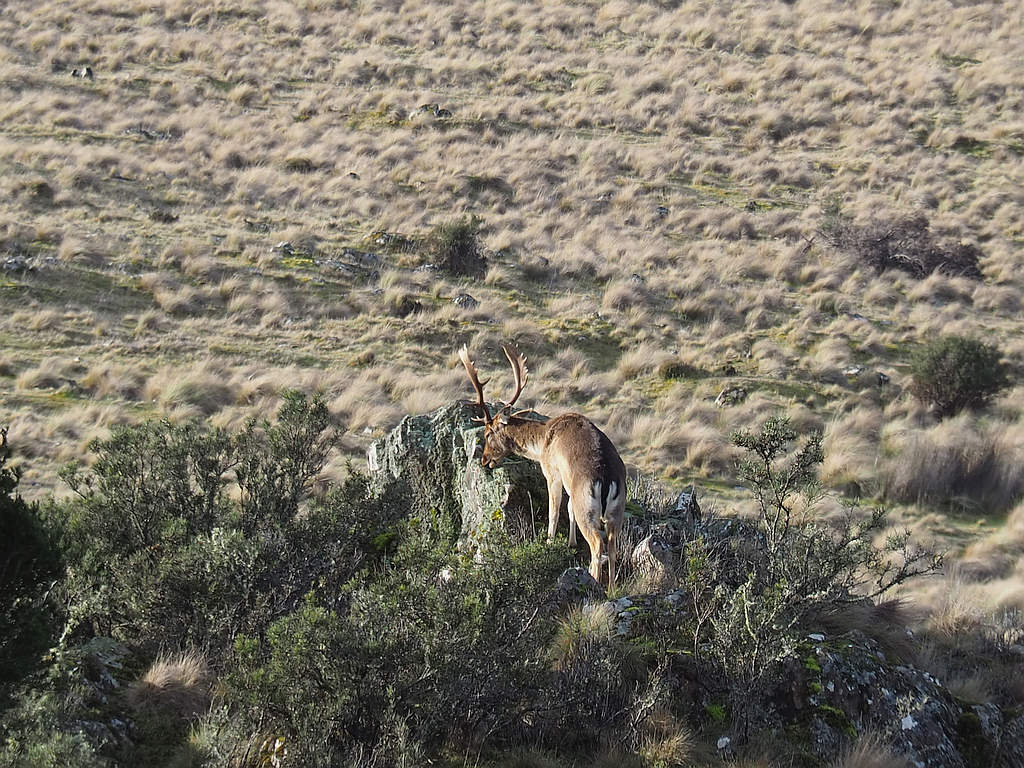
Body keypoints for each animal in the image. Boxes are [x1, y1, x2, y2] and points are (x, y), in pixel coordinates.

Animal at [459, 344, 626, 588]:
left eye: (488, 433)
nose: (484, 460)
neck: (542, 442)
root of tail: (607, 479)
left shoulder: (552, 472)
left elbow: (553, 511)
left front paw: (549, 542)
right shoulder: (568, 484)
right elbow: (568, 509)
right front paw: (570, 543)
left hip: (587, 506)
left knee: (598, 544)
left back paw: (594, 582)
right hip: (616, 510)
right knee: (613, 545)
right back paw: (612, 587)